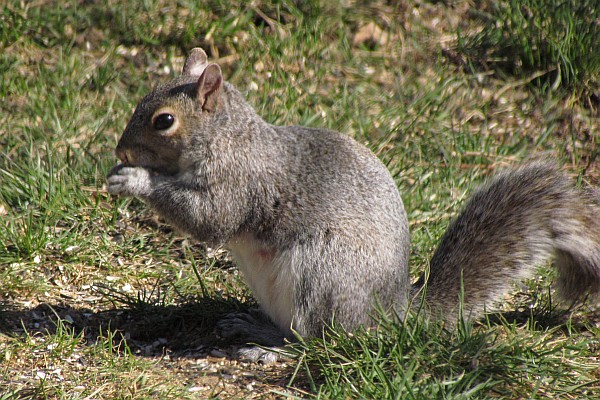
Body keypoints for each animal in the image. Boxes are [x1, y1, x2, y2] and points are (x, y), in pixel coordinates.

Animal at [108, 47, 600, 362]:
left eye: (164, 121)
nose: (121, 151)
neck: (228, 137)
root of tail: (391, 312)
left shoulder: (241, 182)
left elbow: (210, 220)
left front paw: (135, 179)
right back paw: (254, 328)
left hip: (323, 274)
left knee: (318, 339)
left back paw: (268, 352)